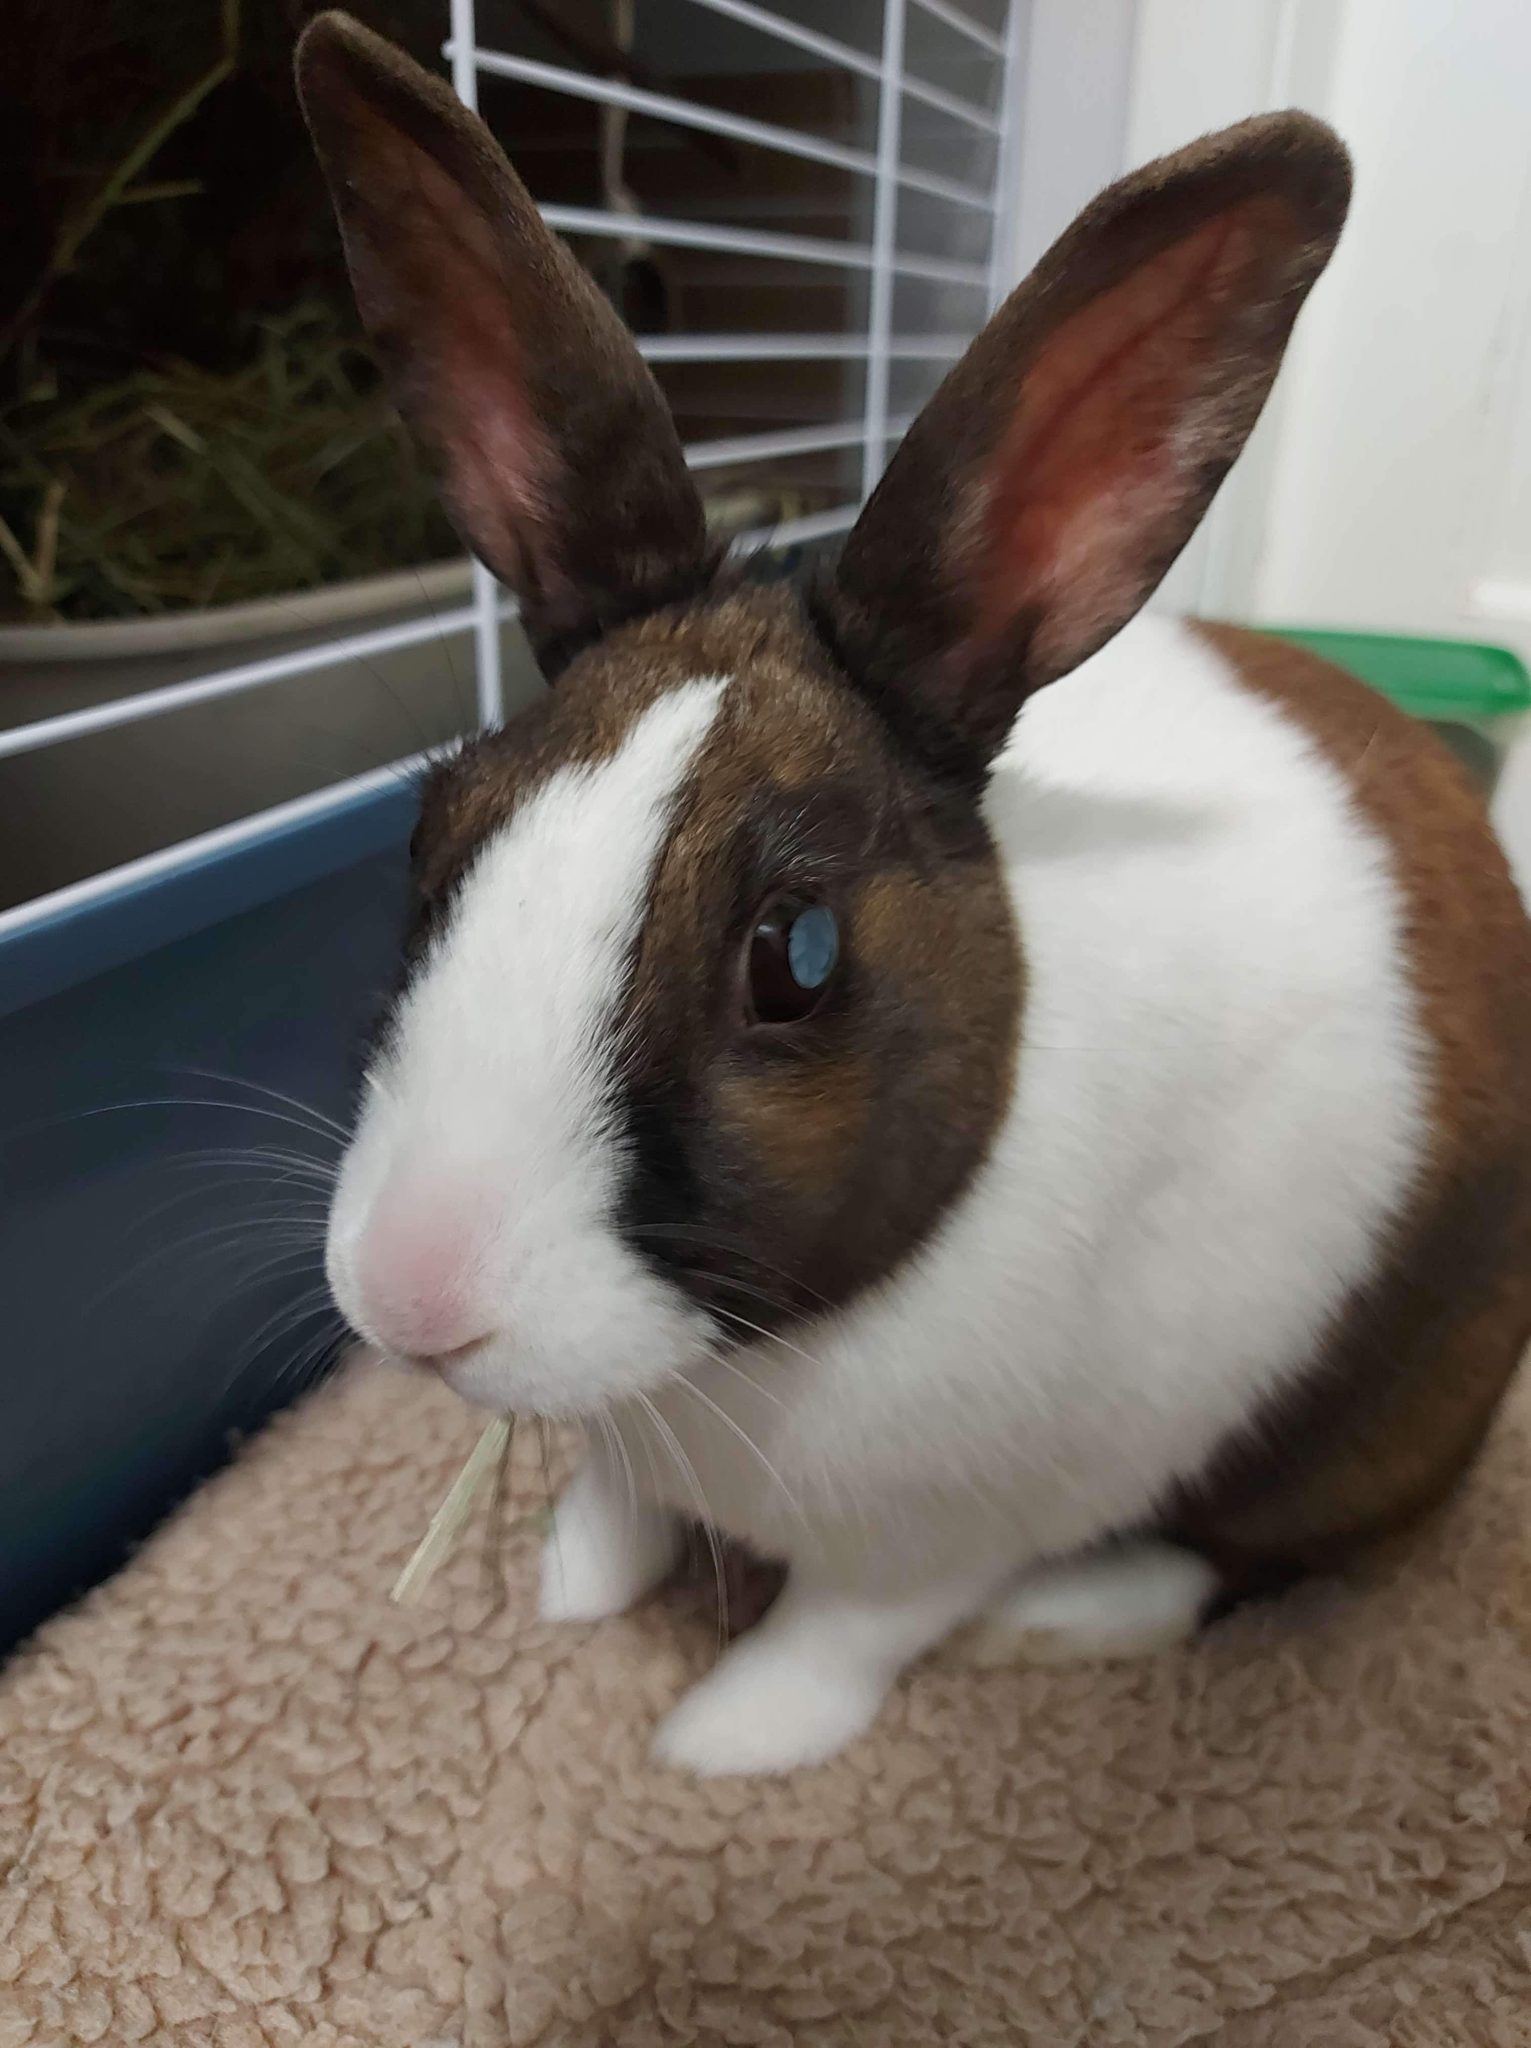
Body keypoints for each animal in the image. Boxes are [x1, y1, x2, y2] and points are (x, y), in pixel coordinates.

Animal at [299, 13, 1531, 1775]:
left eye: (795, 956)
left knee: (1240, 1561)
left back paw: (1067, 1621)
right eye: (431, 841)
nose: (413, 1299)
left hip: (1379, 1426)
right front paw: (578, 1585)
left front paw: (716, 1742)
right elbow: (614, 1494)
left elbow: (839, 1638)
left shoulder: (939, 1540)